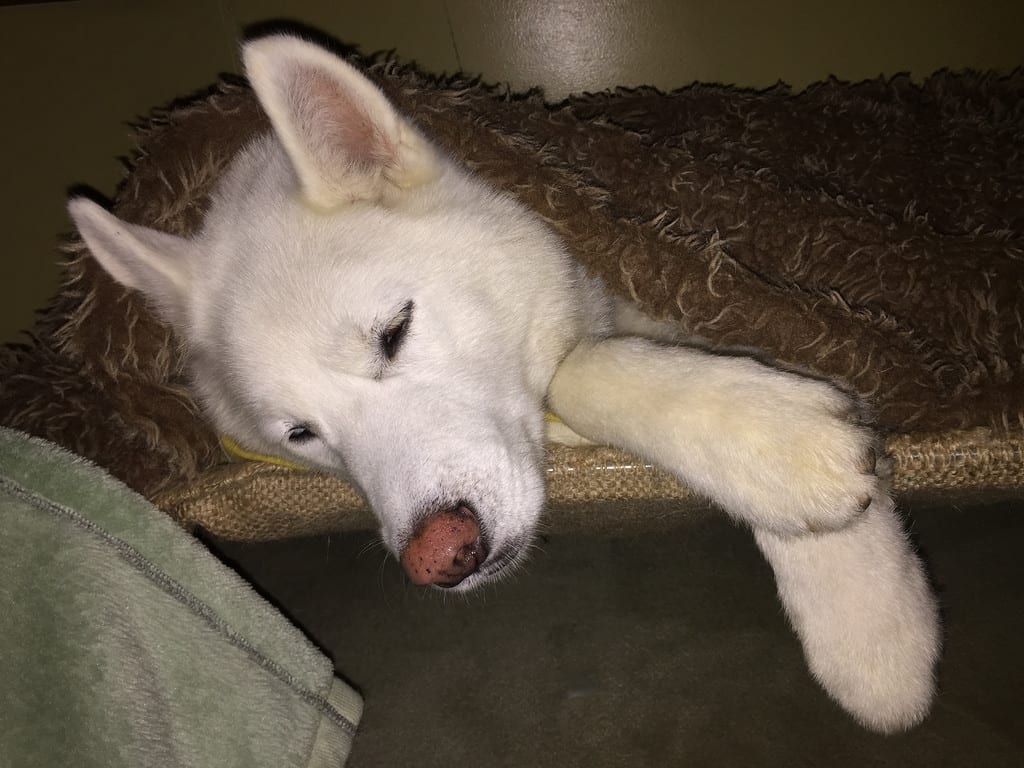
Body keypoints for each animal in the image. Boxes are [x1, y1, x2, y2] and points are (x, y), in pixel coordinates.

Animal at [68, 34, 940, 734]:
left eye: (395, 332)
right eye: (301, 435)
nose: (439, 556)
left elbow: (591, 365)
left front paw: (864, 614)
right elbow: (580, 372)